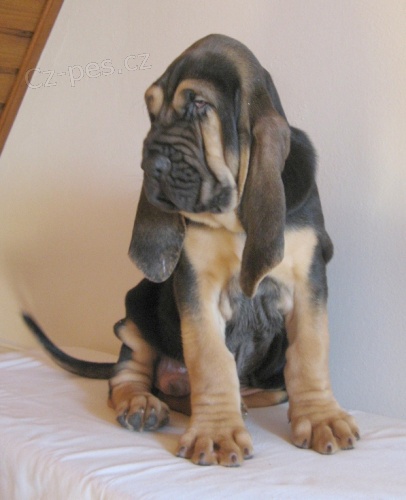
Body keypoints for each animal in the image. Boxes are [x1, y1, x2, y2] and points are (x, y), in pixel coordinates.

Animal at [24, 34, 359, 467]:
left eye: (199, 105)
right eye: (151, 111)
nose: (149, 164)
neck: (232, 215)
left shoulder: (307, 280)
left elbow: (311, 352)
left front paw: (321, 418)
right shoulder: (196, 285)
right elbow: (210, 359)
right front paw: (216, 434)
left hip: (269, 370)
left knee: (253, 387)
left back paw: (242, 403)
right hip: (136, 308)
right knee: (130, 374)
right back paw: (143, 404)